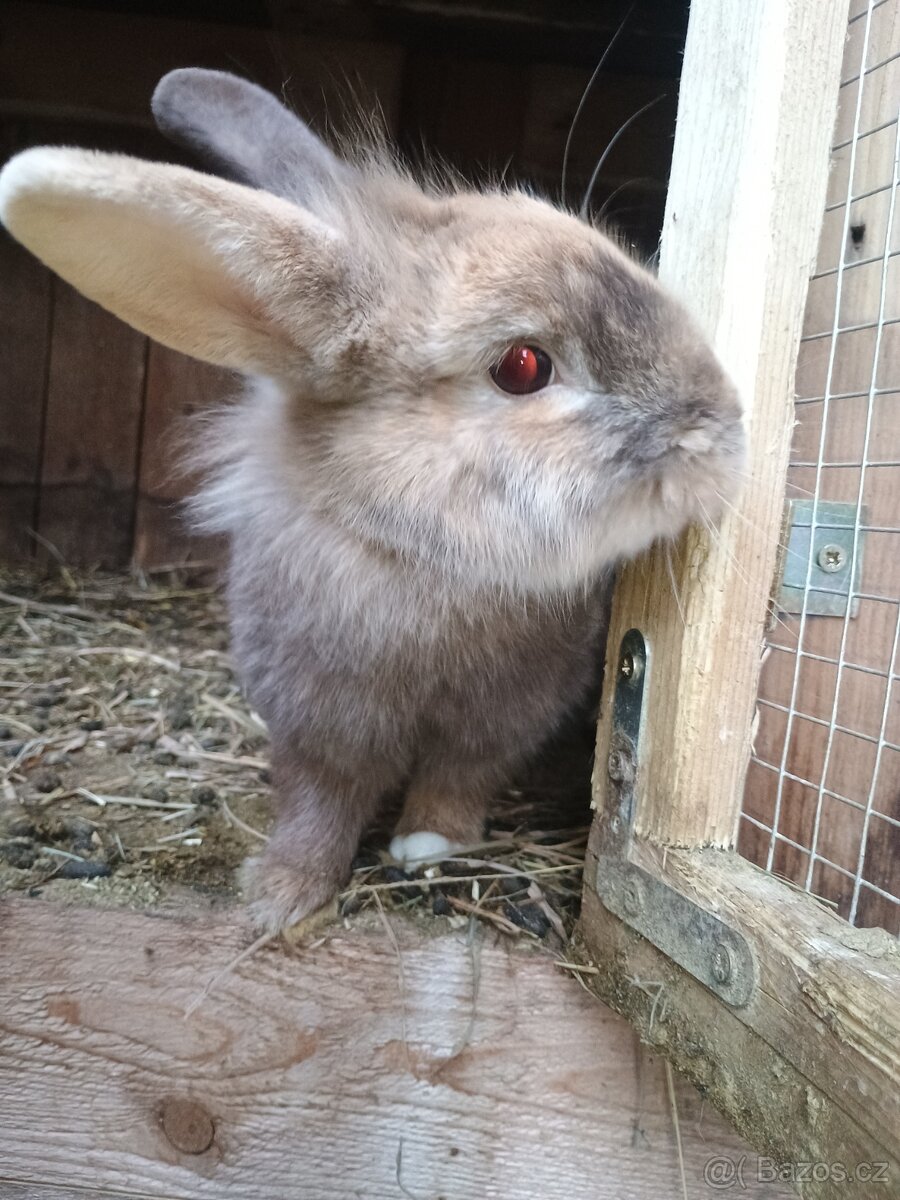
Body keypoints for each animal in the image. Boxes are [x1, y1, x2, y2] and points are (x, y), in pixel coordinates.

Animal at [0, 69, 745, 933]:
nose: (726, 428)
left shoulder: (500, 724)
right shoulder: (313, 722)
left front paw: (427, 847)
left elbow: (458, 780)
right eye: (523, 366)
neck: (425, 558)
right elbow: (319, 804)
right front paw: (281, 896)